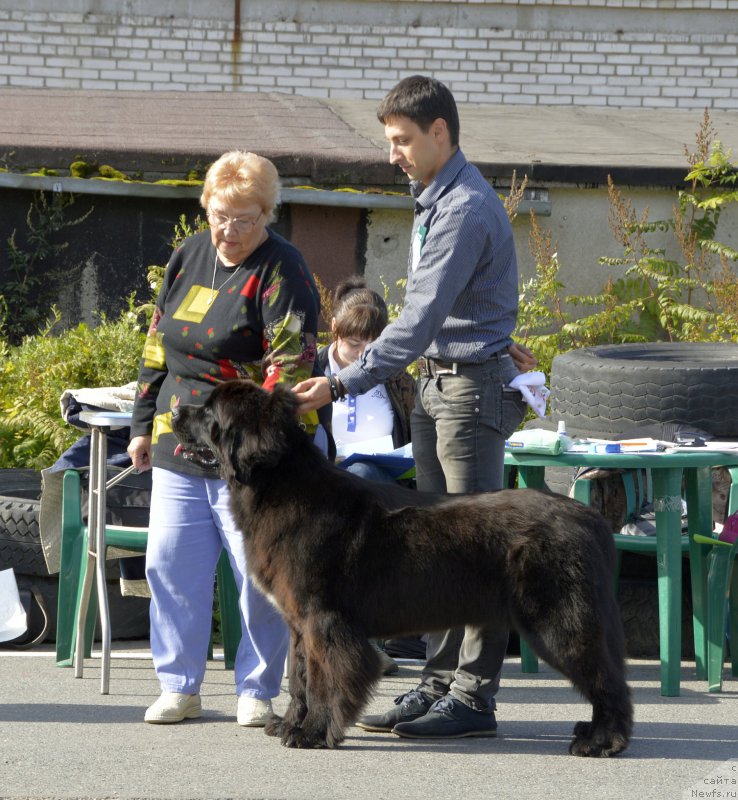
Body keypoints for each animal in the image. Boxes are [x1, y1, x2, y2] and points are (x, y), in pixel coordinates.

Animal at [170, 382, 628, 756]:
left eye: (209, 412)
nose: (173, 411)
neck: (277, 484)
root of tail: (589, 518)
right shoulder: (299, 624)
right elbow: (298, 677)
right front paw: (289, 723)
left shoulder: (324, 621)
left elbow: (321, 679)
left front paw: (312, 733)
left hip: (560, 622)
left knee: (606, 680)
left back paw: (602, 741)